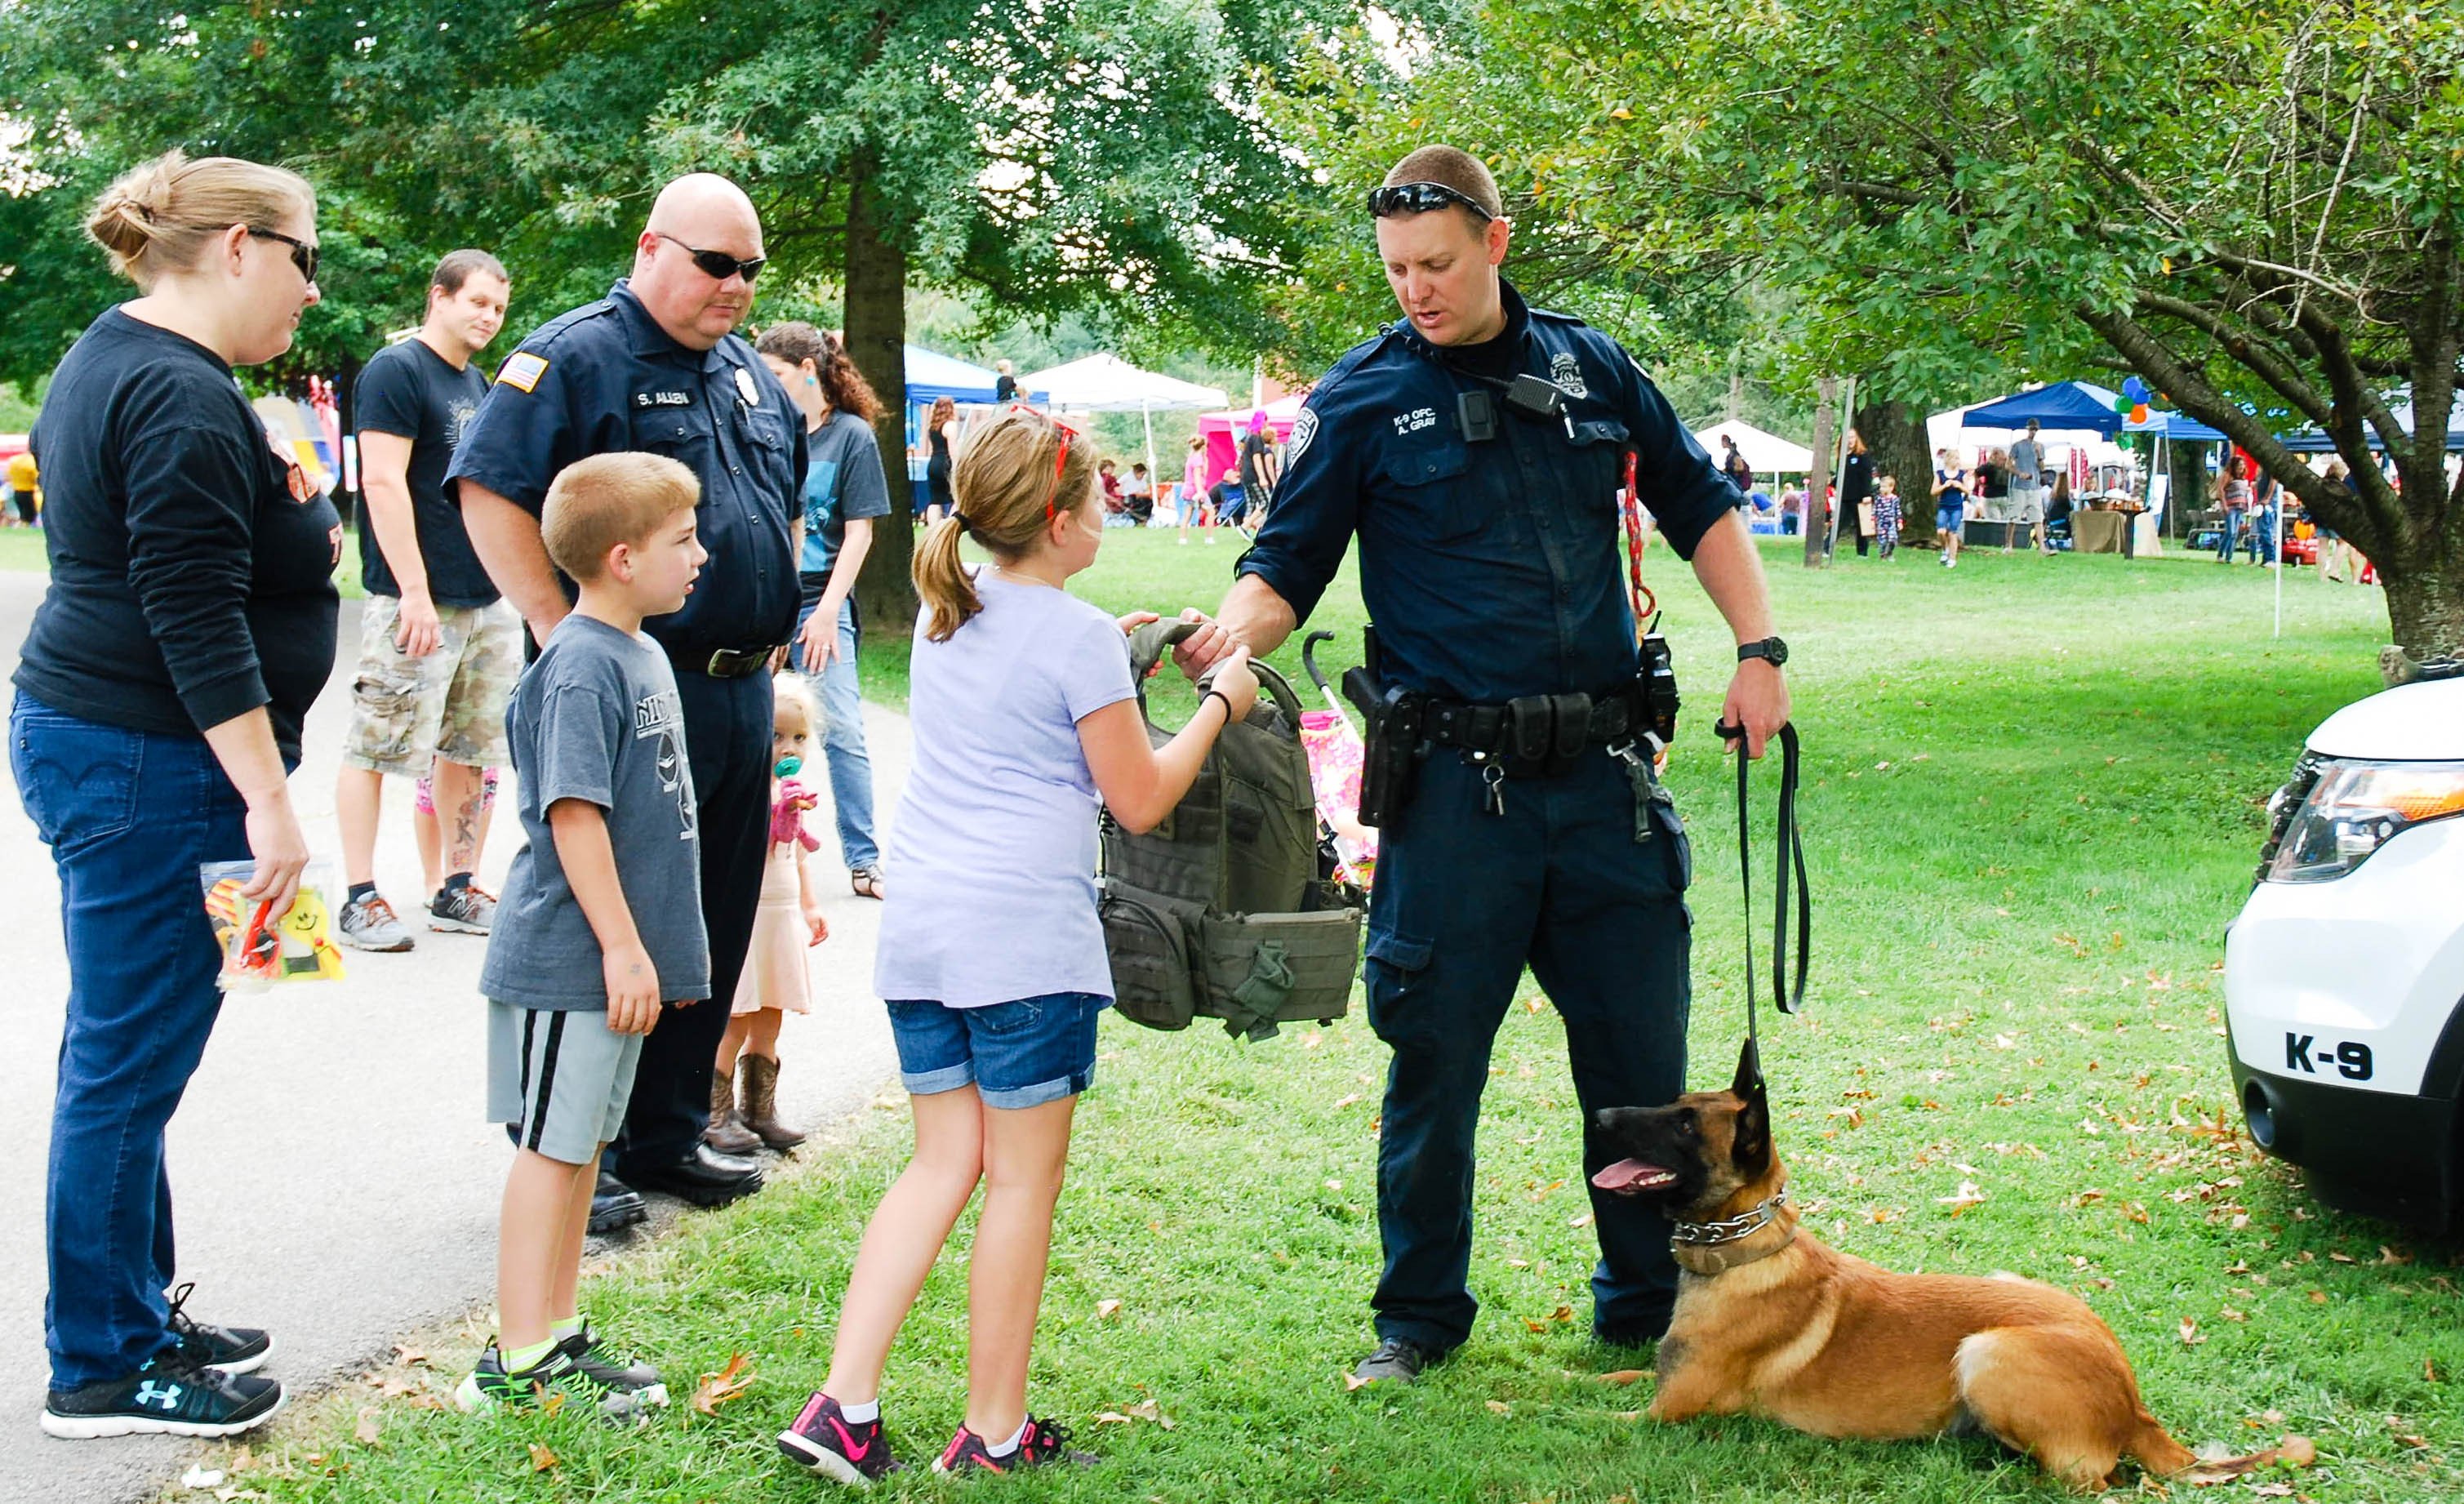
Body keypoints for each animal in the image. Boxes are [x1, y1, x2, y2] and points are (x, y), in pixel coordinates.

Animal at [1596, 1040, 2266, 1488]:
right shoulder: (1656, 1383)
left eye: (1684, 1124)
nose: (1600, 1116)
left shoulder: (1662, 1414)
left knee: (2091, 1482)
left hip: (1986, 1351)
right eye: (1676, 1104)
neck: (1745, 1250)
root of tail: (2134, 1403)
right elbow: (1605, 1377)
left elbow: (1585, 1415)